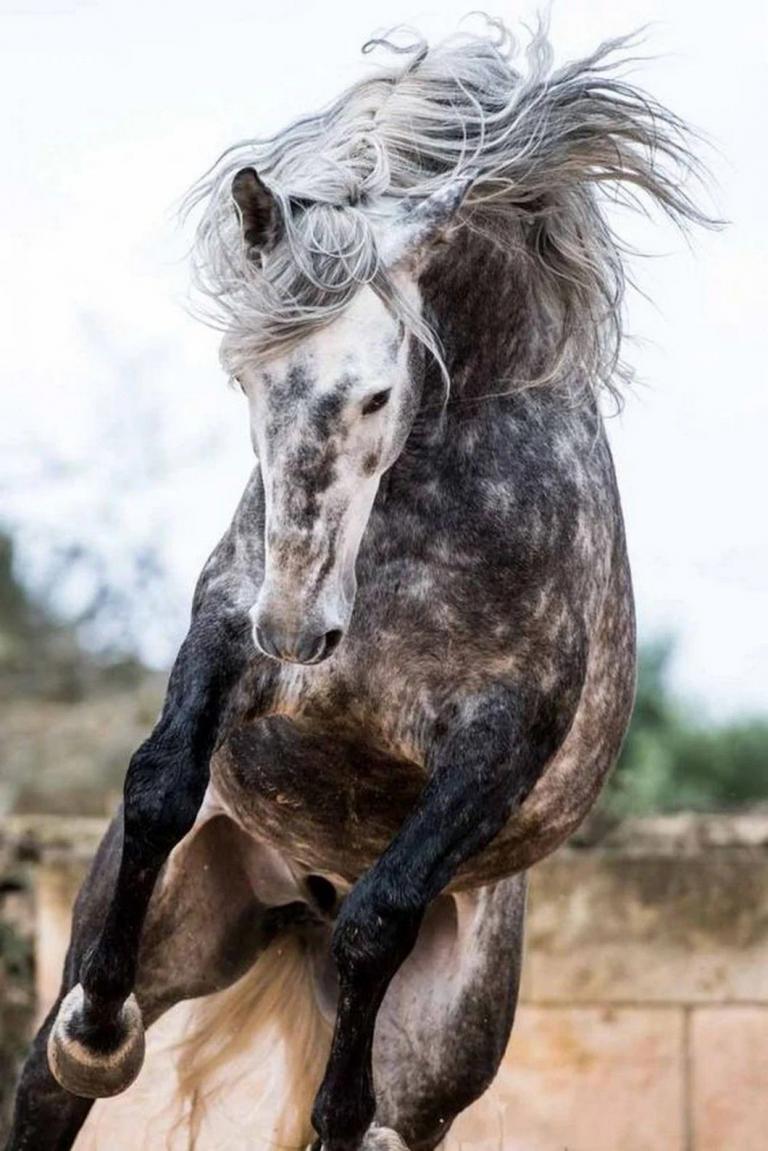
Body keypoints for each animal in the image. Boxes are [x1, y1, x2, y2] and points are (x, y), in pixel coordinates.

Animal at [7, 19, 711, 1151]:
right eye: (246, 378)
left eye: (378, 392)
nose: (298, 629)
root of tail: (300, 897)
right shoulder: (229, 627)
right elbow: (160, 781)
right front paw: (99, 1031)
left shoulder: (498, 738)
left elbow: (382, 914)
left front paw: (342, 1110)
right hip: (184, 921)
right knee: (45, 1084)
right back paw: (87, 1040)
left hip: (447, 1044)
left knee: (383, 1018)